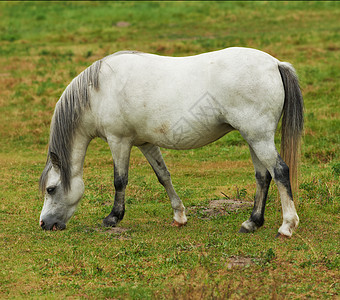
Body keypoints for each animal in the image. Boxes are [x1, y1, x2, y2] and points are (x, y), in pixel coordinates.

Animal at [39, 47, 302, 237]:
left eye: (51, 189)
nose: (44, 223)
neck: (98, 91)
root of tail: (275, 64)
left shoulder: (119, 141)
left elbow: (119, 180)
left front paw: (113, 217)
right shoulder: (145, 143)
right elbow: (163, 176)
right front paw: (179, 216)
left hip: (259, 137)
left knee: (280, 171)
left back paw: (286, 226)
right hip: (253, 138)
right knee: (263, 176)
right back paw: (252, 223)